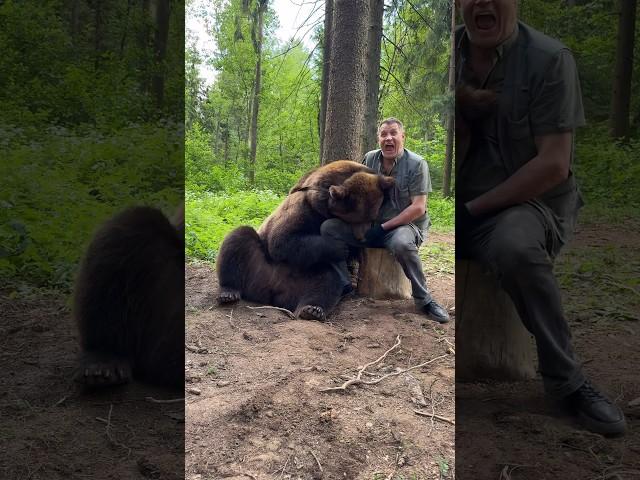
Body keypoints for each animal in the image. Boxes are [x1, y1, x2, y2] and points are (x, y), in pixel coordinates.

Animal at [218, 159, 392, 320]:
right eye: (353, 220)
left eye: (371, 218)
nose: (361, 237)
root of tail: (271, 290)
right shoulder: (304, 208)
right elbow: (283, 240)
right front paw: (338, 247)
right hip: (259, 263)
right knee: (239, 238)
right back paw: (228, 292)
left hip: (304, 278)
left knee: (326, 280)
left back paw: (312, 309)